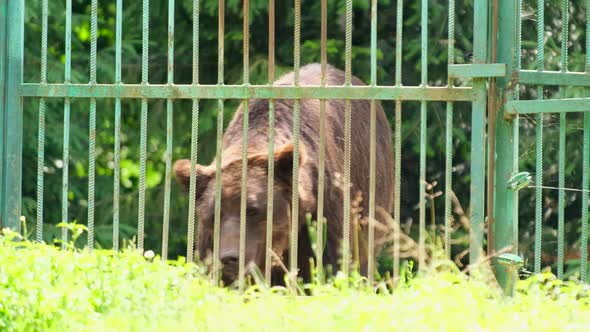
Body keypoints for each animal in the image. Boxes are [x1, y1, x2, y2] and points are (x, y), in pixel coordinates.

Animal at [173, 63, 396, 286]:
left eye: (253, 210)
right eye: (213, 214)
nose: (230, 257)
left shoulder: (323, 206)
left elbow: (333, 261)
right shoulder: (211, 241)